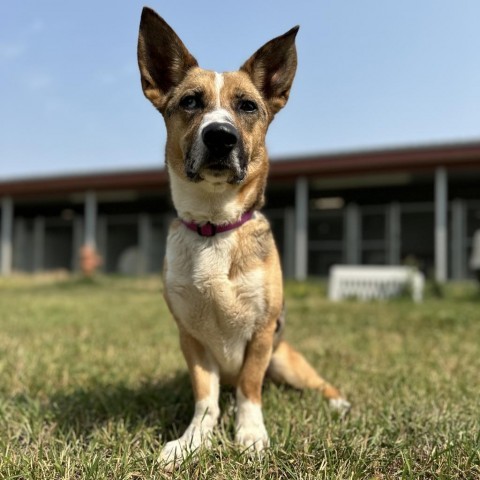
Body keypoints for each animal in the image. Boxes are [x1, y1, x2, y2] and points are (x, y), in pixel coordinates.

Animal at [136, 5, 348, 466]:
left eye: (248, 106)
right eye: (190, 101)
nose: (220, 136)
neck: (215, 226)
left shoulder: (262, 332)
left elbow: (250, 389)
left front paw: (250, 435)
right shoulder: (191, 338)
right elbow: (205, 399)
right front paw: (191, 441)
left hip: (287, 361)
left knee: (316, 383)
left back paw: (338, 402)